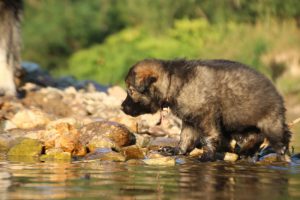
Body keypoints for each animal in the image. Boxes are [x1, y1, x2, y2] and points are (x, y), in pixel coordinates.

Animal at [121, 58, 290, 162]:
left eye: (131, 91)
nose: (122, 107)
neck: (173, 82)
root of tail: (278, 95)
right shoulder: (189, 119)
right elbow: (185, 137)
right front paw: (176, 151)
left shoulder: (206, 115)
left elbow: (209, 137)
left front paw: (207, 156)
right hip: (238, 124)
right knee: (256, 137)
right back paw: (246, 152)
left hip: (270, 123)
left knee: (281, 141)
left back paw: (282, 157)